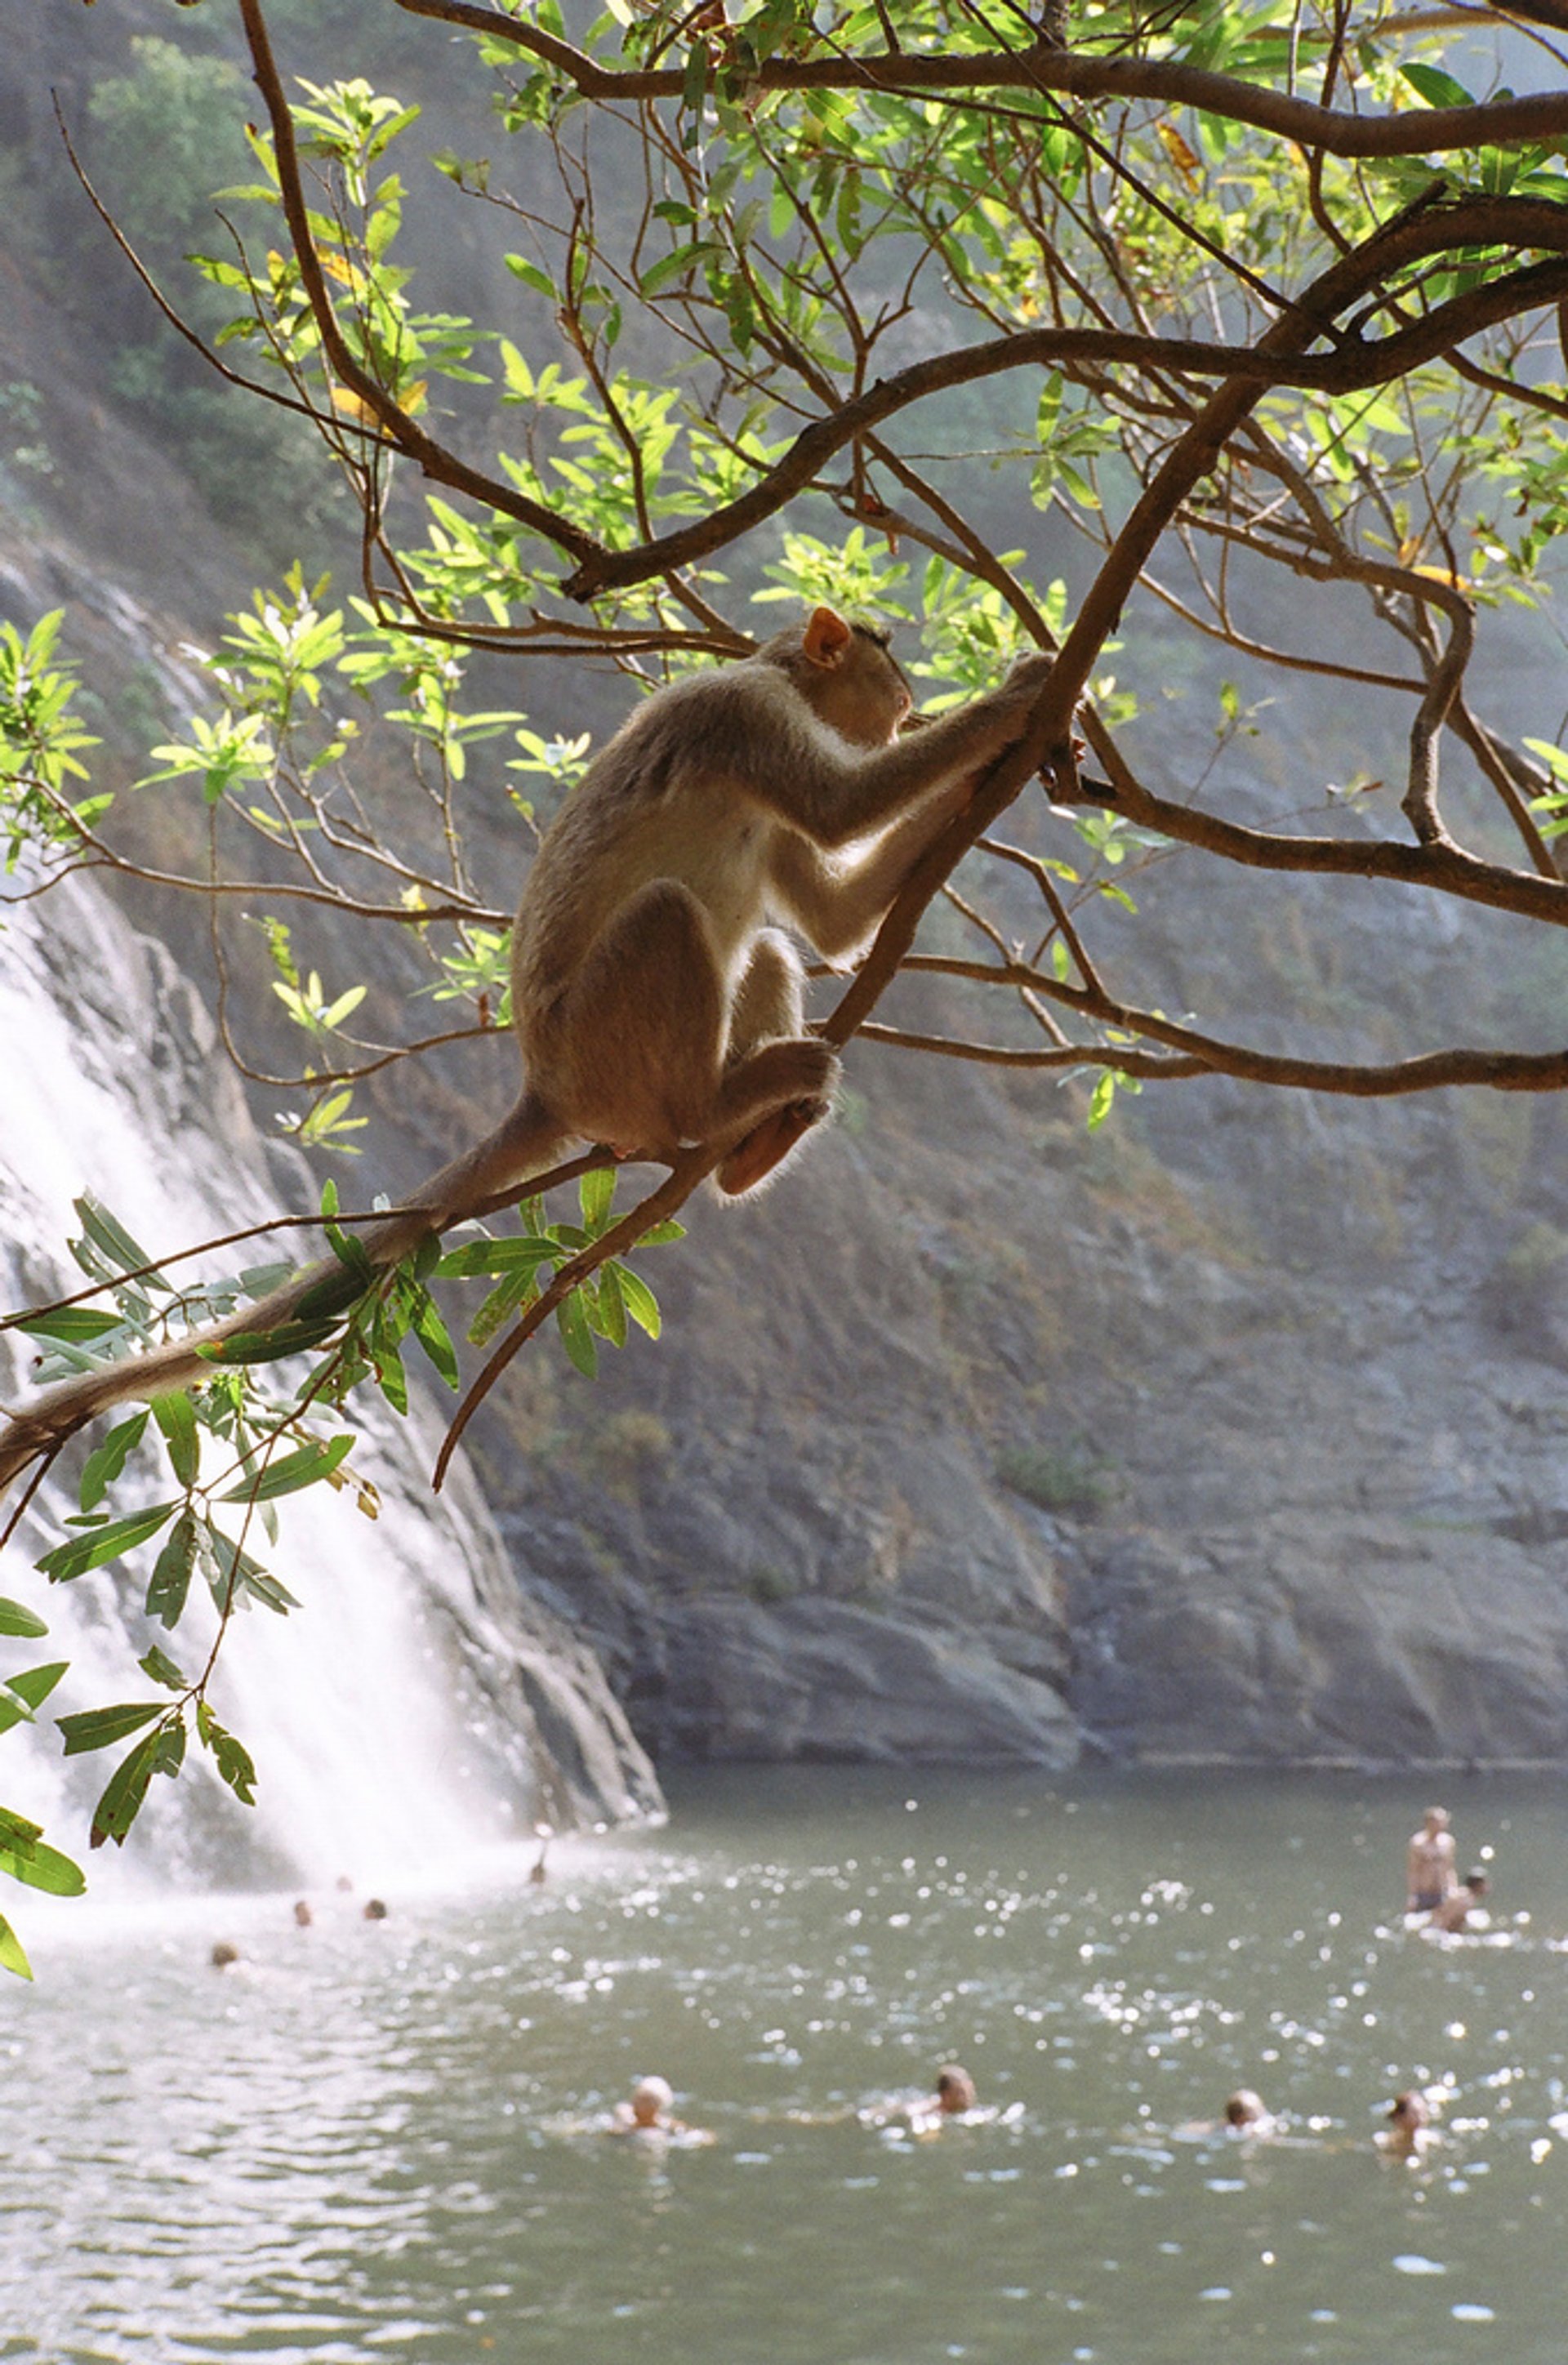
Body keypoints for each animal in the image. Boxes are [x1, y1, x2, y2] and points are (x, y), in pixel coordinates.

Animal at [2, 610, 1054, 1476]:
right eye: (892, 669)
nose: (909, 713)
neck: (778, 676)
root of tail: (547, 1088)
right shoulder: (741, 715)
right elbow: (838, 815)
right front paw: (1024, 698)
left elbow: (834, 923)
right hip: (602, 1042)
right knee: (671, 916)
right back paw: (709, 1113)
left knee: (755, 945)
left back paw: (748, 1149)